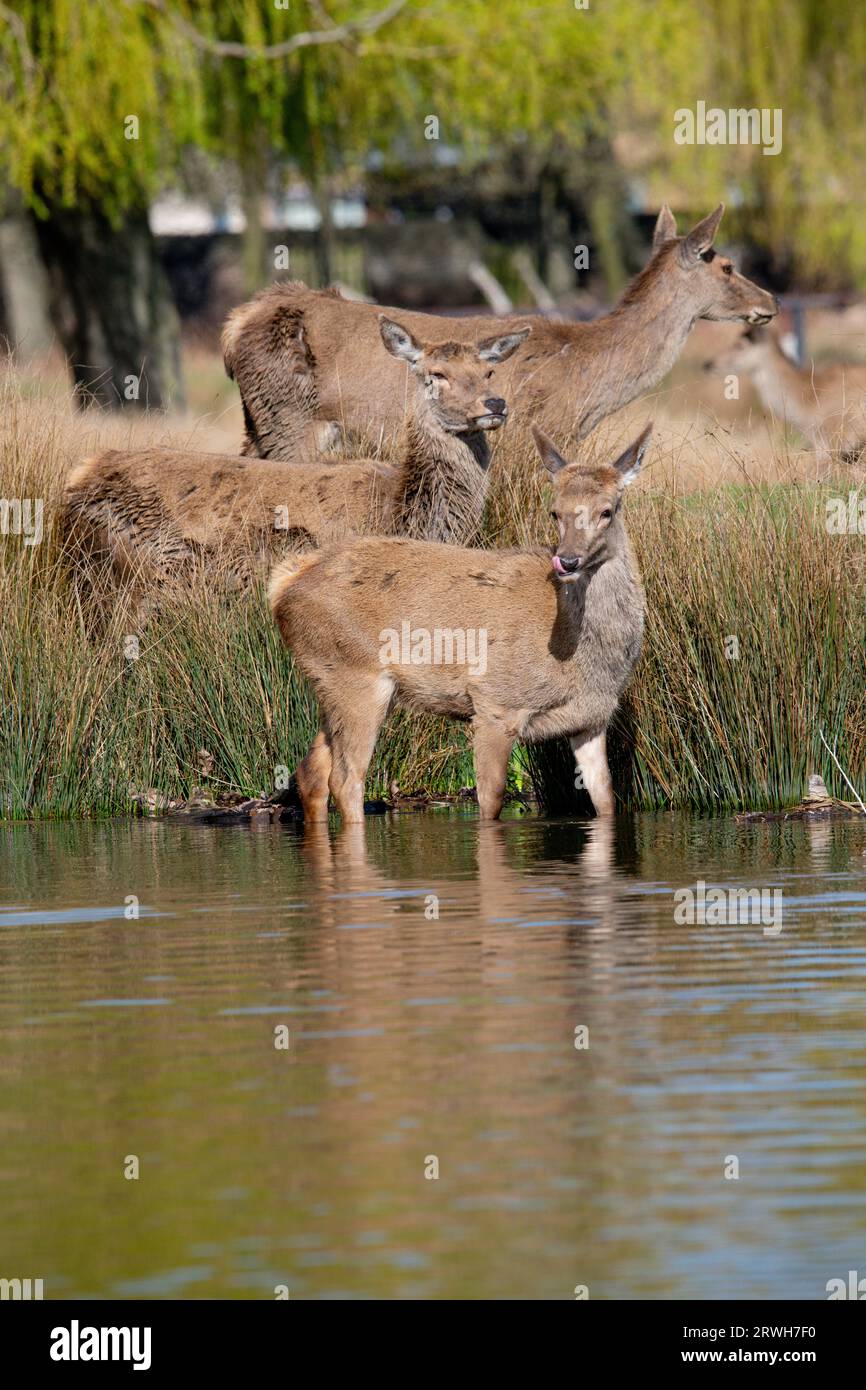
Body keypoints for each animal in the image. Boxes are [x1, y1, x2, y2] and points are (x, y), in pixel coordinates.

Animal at [63, 317, 529, 598]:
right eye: (436, 374)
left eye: (488, 371)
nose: (494, 403)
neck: (406, 511)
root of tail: (75, 483)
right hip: (138, 572)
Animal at [223, 204, 777, 459]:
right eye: (727, 265)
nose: (769, 302)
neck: (588, 381)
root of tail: (236, 324)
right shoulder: (535, 435)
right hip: (290, 419)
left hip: (258, 423)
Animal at [269, 423, 652, 823]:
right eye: (555, 512)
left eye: (607, 511)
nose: (567, 560)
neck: (583, 661)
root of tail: (282, 585)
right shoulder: (495, 701)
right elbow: (491, 800)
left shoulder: (591, 721)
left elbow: (606, 800)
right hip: (355, 674)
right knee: (345, 779)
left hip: (333, 682)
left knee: (311, 771)